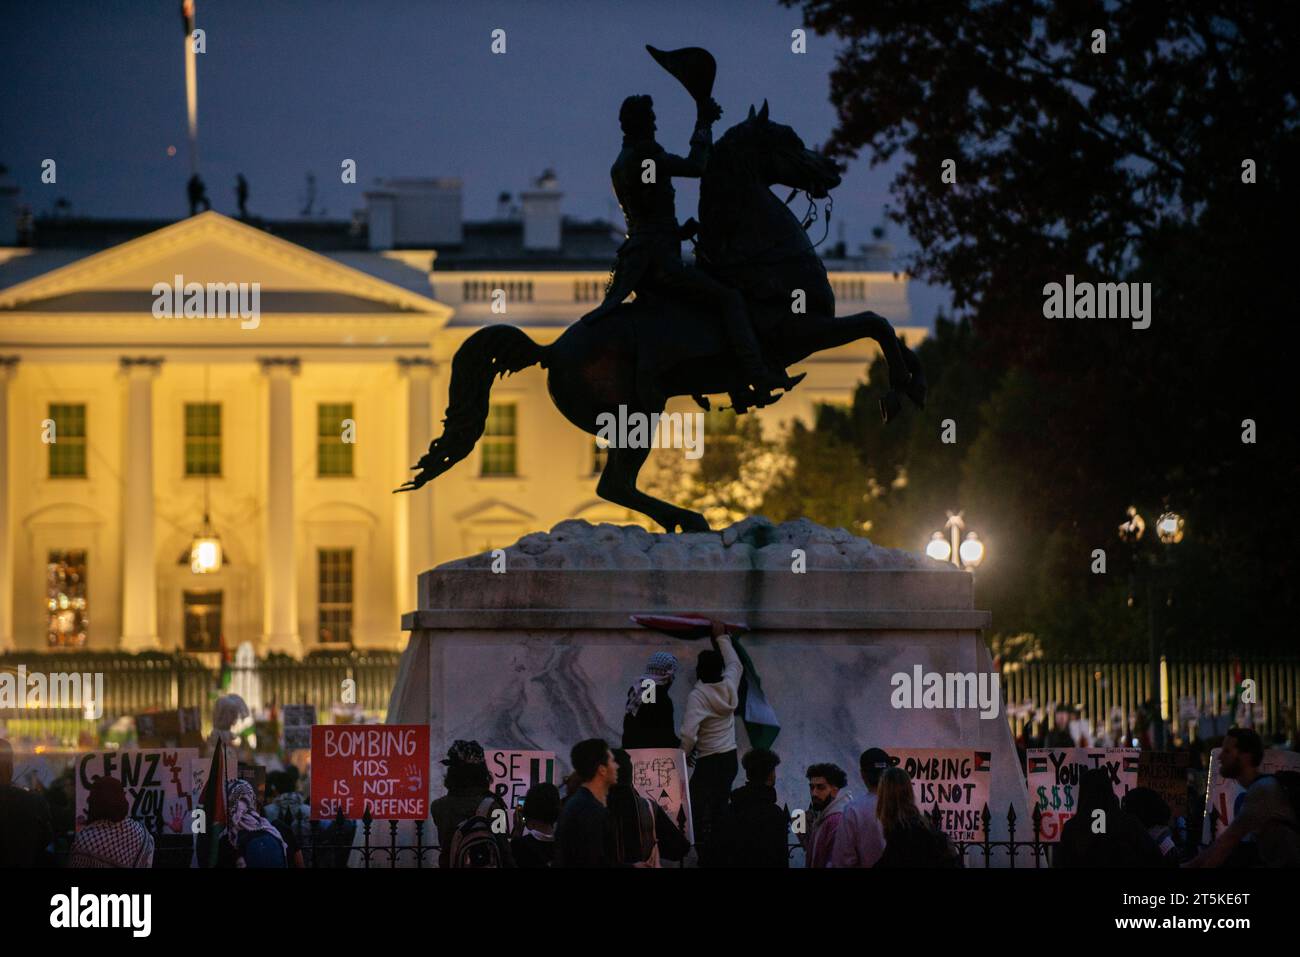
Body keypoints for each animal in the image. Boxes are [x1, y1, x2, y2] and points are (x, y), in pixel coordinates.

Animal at [395, 105, 925, 538]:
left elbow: (882, 325)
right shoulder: (797, 332)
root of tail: (551, 349)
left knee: (615, 484)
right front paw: (901, 390)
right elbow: (875, 322)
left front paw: (911, 379)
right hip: (638, 411)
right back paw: (689, 518)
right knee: (613, 485)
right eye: (788, 139)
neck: (762, 256)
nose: (832, 171)